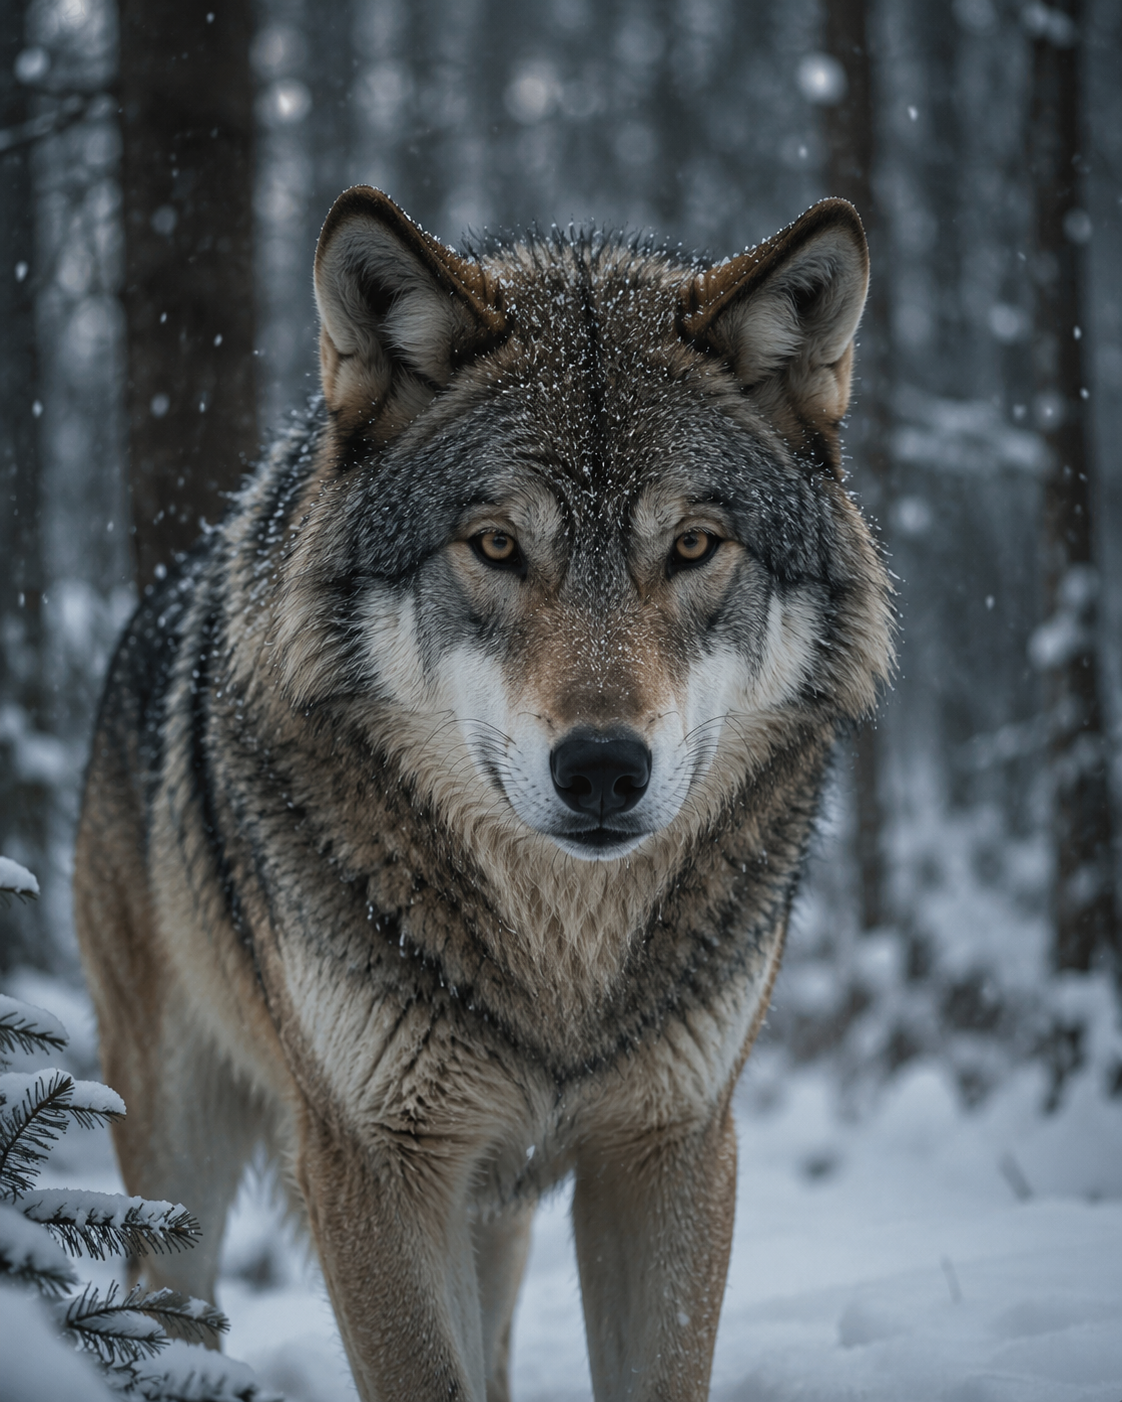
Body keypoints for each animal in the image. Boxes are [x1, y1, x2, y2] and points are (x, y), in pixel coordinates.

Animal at [74, 187, 891, 1402]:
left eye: (695, 545)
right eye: (497, 545)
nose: (602, 767)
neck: (562, 961)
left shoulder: (673, 1149)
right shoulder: (373, 1166)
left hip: (493, 1209)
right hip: (182, 1170)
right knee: (168, 1316)